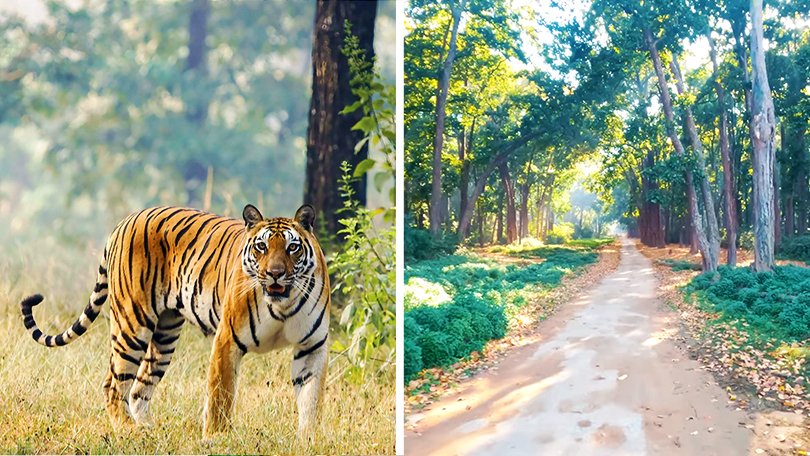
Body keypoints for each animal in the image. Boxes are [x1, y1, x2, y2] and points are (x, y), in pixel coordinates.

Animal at [20, 204, 331, 440]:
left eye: (292, 247)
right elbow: (220, 395)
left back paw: (149, 429)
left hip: (165, 334)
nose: (275, 273)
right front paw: (217, 439)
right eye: (262, 247)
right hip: (132, 324)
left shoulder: (312, 347)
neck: (282, 304)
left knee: (139, 387)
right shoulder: (227, 340)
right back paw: (128, 430)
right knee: (113, 384)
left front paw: (308, 441)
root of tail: (124, 221)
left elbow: (311, 399)